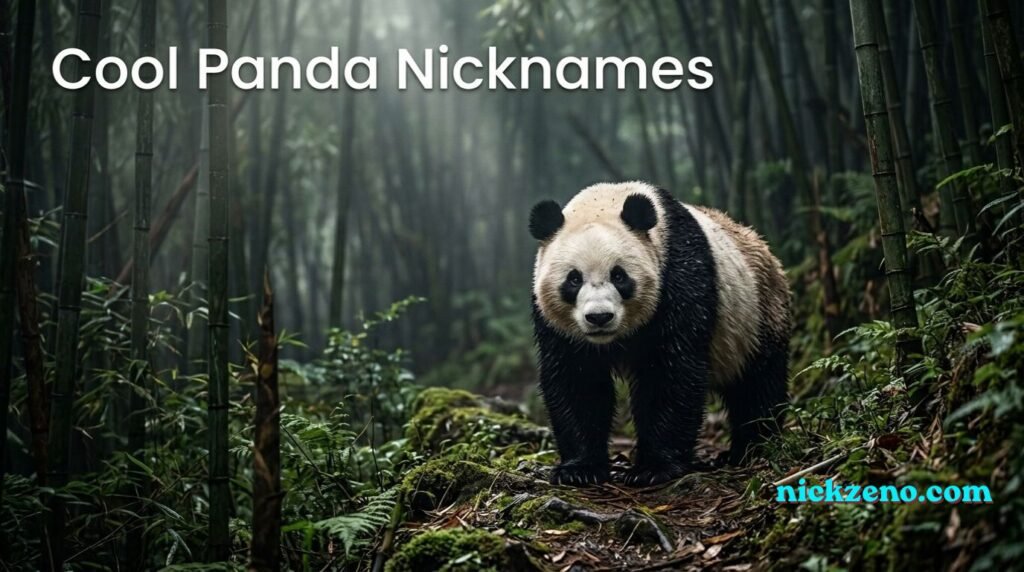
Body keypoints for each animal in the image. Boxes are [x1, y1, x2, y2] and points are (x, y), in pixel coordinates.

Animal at [529, 181, 791, 487]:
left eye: (619, 276)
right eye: (573, 279)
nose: (599, 317)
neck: (606, 201)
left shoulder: (679, 277)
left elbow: (670, 372)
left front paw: (653, 468)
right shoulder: (556, 325)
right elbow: (579, 380)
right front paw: (579, 469)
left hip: (757, 315)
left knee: (757, 385)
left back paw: (751, 448)